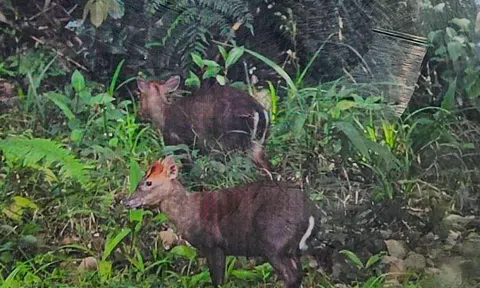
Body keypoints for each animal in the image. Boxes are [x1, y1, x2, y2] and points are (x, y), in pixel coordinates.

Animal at [123, 156, 322, 286]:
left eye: (148, 182)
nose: (127, 201)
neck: (190, 213)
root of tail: (311, 213)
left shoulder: (213, 245)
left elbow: (217, 281)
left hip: (273, 243)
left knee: (292, 276)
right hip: (291, 249)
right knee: (298, 275)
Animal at [136, 75, 270, 172]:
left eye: (140, 96)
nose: (140, 114)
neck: (163, 114)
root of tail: (259, 112)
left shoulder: (178, 140)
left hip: (232, 142)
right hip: (257, 144)